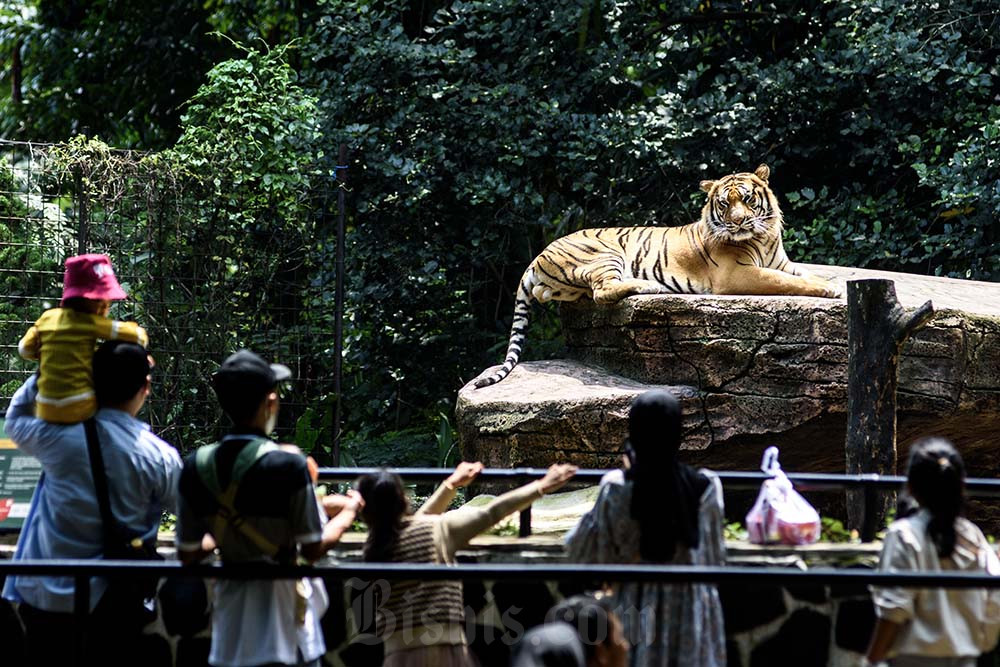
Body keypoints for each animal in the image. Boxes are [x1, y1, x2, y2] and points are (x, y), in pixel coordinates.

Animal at [472, 164, 840, 388]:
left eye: (748, 199)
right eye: (724, 204)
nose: (737, 223)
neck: (763, 237)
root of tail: (536, 257)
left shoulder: (781, 262)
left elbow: (802, 273)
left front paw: (833, 282)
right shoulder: (736, 275)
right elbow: (791, 282)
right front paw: (832, 292)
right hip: (604, 254)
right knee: (603, 291)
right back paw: (649, 285)